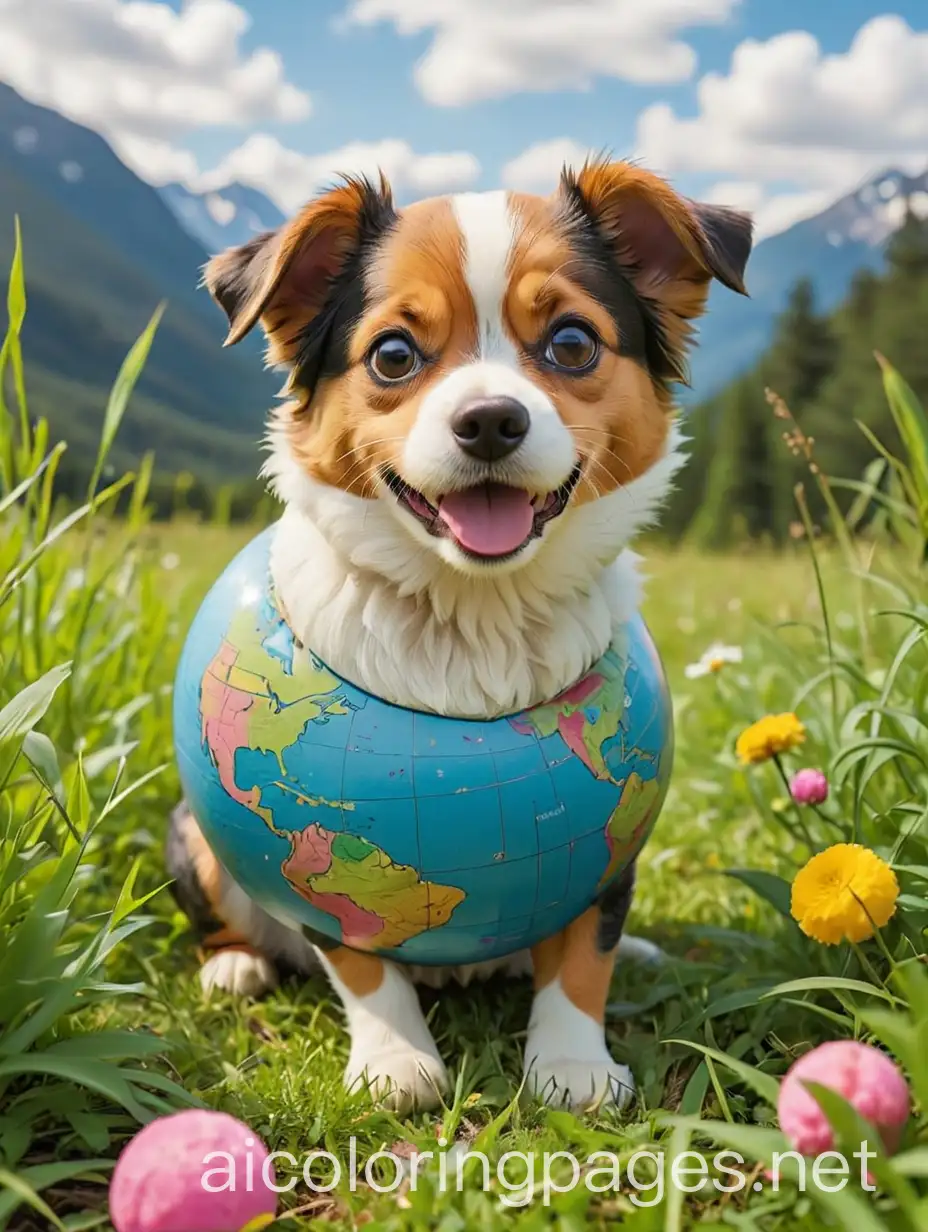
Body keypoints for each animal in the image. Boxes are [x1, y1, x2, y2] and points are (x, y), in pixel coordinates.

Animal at [165, 158, 744, 1113]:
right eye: (393, 354)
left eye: (573, 344)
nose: (490, 421)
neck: (477, 615)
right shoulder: (319, 876)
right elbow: (359, 956)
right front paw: (397, 1060)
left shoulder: (614, 843)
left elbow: (585, 950)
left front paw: (573, 1064)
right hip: (192, 835)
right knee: (232, 913)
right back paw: (236, 966)